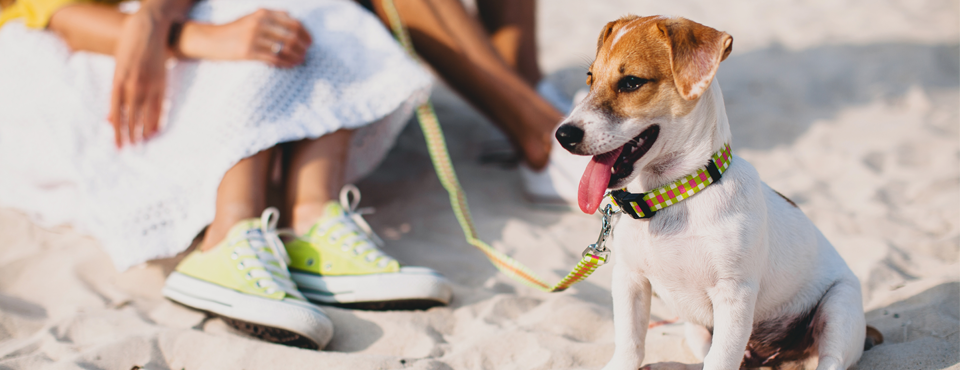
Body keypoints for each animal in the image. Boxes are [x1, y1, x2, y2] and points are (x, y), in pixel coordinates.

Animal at [556, 15, 876, 370]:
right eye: (590, 78)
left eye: (631, 82)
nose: (563, 135)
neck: (674, 196)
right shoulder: (630, 279)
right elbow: (629, 344)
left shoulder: (733, 295)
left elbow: (720, 359)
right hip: (696, 330)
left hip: (838, 307)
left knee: (829, 359)